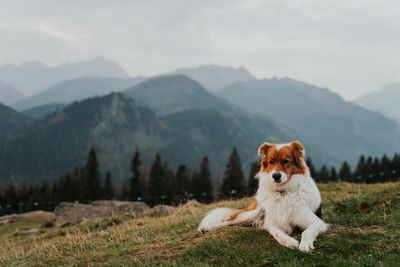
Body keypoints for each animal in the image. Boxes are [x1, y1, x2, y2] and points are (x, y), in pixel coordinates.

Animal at [198, 142, 330, 253]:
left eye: (286, 161)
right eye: (271, 161)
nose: (276, 176)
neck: (282, 192)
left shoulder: (317, 222)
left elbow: (307, 232)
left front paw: (305, 244)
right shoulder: (272, 223)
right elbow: (276, 233)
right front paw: (289, 242)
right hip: (254, 212)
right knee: (230, 221)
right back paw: (207, 227)